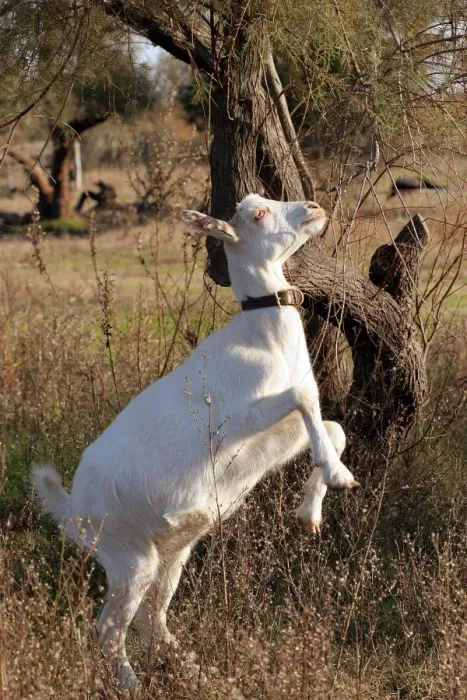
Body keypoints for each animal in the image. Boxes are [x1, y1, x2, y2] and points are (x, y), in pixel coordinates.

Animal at [32, 194, 359, 690]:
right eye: (257, 214)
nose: (314, 207)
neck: (264, 340)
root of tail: (72, 510)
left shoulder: (277, 433)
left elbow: (332, 427)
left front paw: (311, 511)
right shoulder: (235, 420)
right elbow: (307, 399)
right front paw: (339, 479)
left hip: (170, 555)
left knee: (152, 618)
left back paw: (201, 674)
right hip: (129, 557)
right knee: (110, 627)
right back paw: (133, 685)